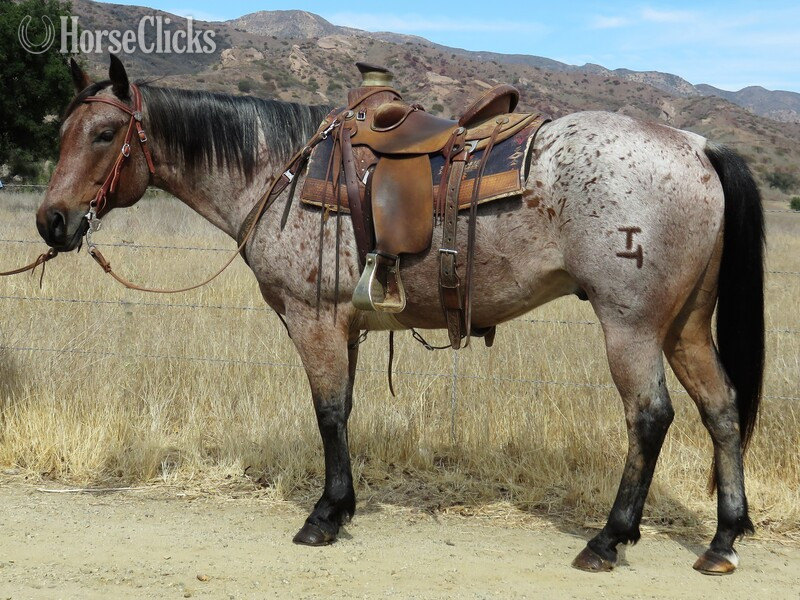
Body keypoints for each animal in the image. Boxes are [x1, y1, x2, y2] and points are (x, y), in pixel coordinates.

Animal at [37, 56, 764, 575]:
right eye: (62, 132)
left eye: (105, 133)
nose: (52, 222)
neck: (280, 174)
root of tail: (697, 146)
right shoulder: (347, 327)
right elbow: (345, 409)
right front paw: (342, 506)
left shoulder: (314, 321)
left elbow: (329, 412)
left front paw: (324, 517)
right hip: (684, 327)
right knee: (722, 408)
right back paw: (724, 539)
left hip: (631, 327)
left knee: (650, 417)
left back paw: (609, 539)